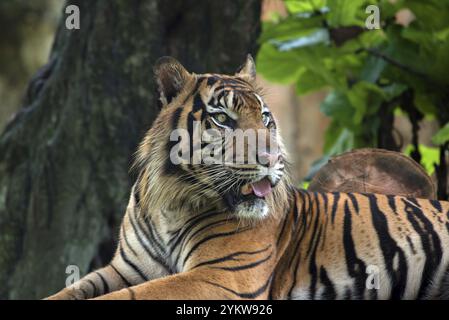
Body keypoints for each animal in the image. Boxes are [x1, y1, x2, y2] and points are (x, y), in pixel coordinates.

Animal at [46, 54, 449, 300]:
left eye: (266, 118)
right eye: (223, 119)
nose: (273, 158)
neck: (171, 202)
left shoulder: (220, 275)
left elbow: (124, 297)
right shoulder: (126, 269)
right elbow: (72, 290)